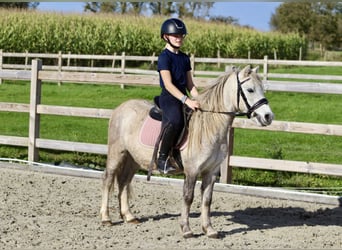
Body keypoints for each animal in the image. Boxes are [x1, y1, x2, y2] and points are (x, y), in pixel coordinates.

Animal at [100, 64, 274, 238]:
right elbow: (188, 197)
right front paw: (186, 229)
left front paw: (209, 229)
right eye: (250, 89)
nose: (268, 116)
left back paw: (129, 216)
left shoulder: (211, 171)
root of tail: (121, 107)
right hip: (117, 153)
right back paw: (106, 218)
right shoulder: (192, 170)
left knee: (124, 181)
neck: (209, 125)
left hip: (133, 159)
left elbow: (207, 199)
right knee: (108, 180)